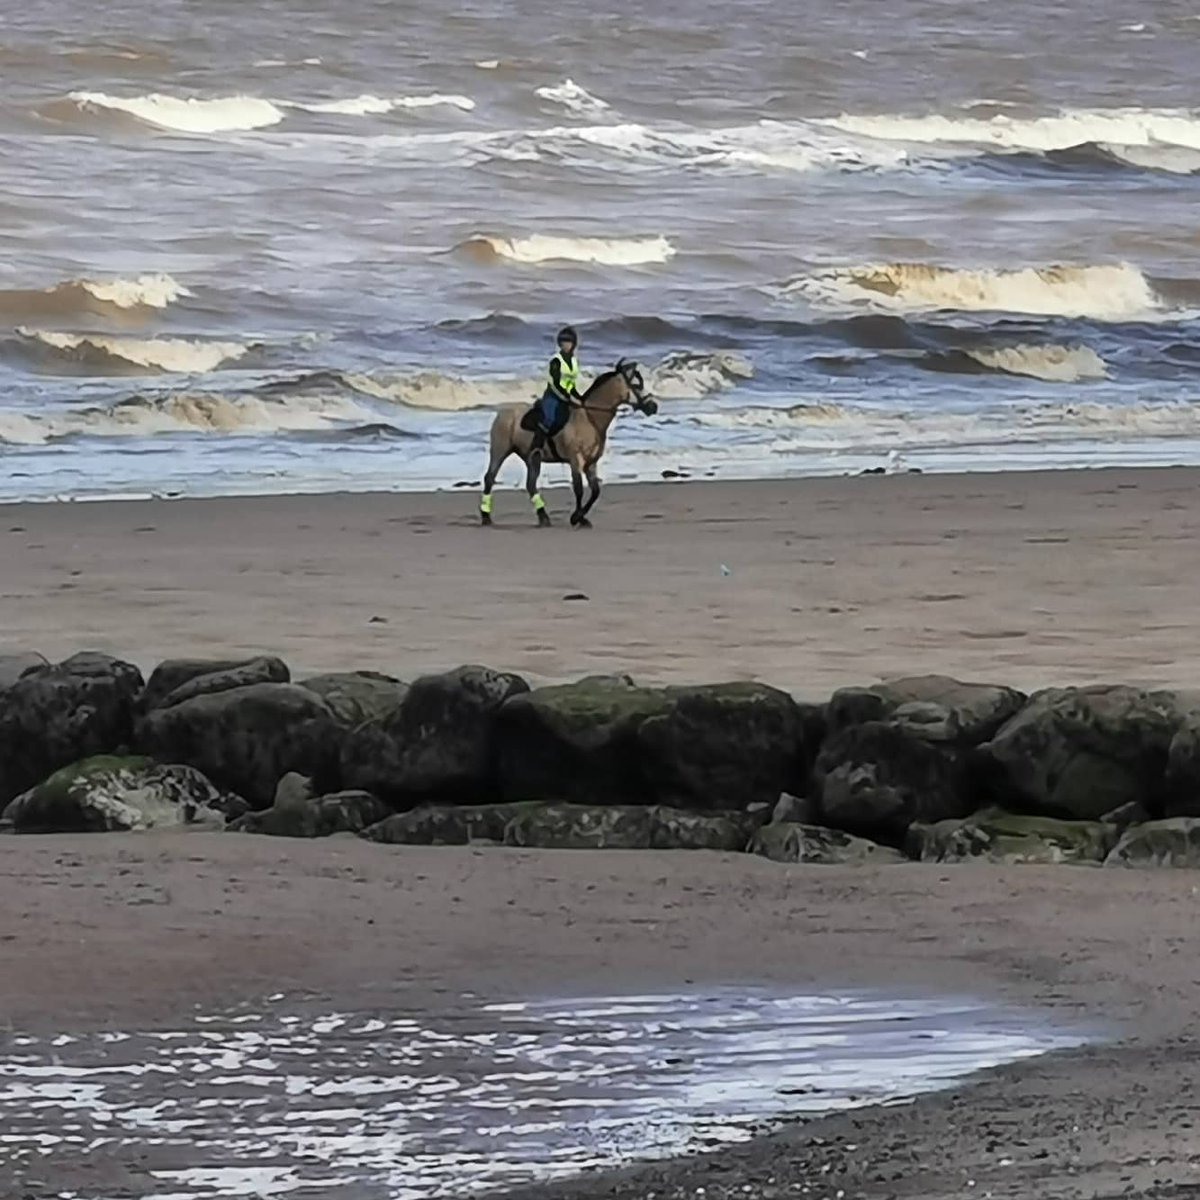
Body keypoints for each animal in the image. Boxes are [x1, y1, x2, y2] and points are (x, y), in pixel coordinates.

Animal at [480, 352, 657, 528]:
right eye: (637, 385)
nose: (653, 407)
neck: (589, 418)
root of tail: (503, 412)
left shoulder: (591, 463)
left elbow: (595, 491)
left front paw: (581, 517)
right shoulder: (575, 459)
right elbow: (578, 488)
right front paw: (576, 517)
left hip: (531, 458)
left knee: (530, 484)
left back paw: (543, 517)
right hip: (500, 451)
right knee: (490, 478)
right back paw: (486, 517)